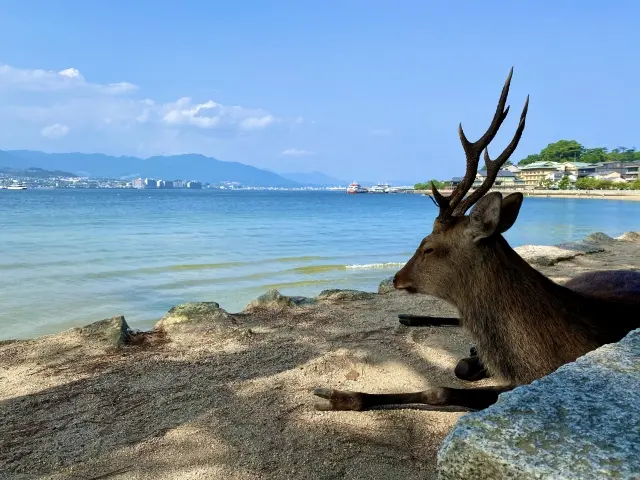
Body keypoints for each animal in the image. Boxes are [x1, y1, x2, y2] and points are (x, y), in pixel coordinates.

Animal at [314, 67, 640, 412]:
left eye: (428, 247)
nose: (397, 278)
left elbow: (440, 391)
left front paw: (336, 396)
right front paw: (339, 396)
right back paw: (412, 318)